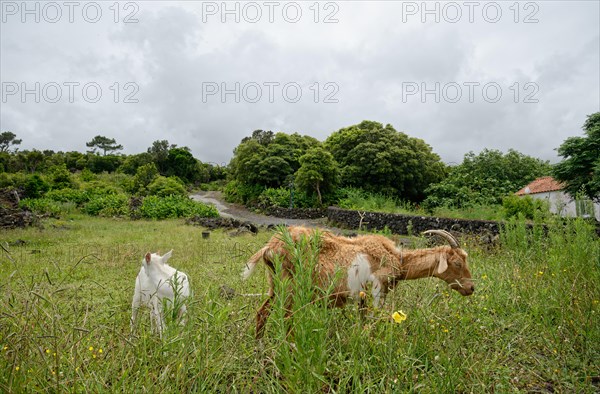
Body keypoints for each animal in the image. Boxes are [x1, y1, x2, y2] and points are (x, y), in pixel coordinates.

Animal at [243, 226, 474, 340]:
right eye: (457, 262)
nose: (471, 288)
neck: (396, 258)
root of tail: (270, 247)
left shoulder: (362, 298)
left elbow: (364, 321)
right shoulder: (378, 288)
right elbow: (375, 319)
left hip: (276, 286)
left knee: (262, 313)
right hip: (290, 286)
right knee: (286, 316)